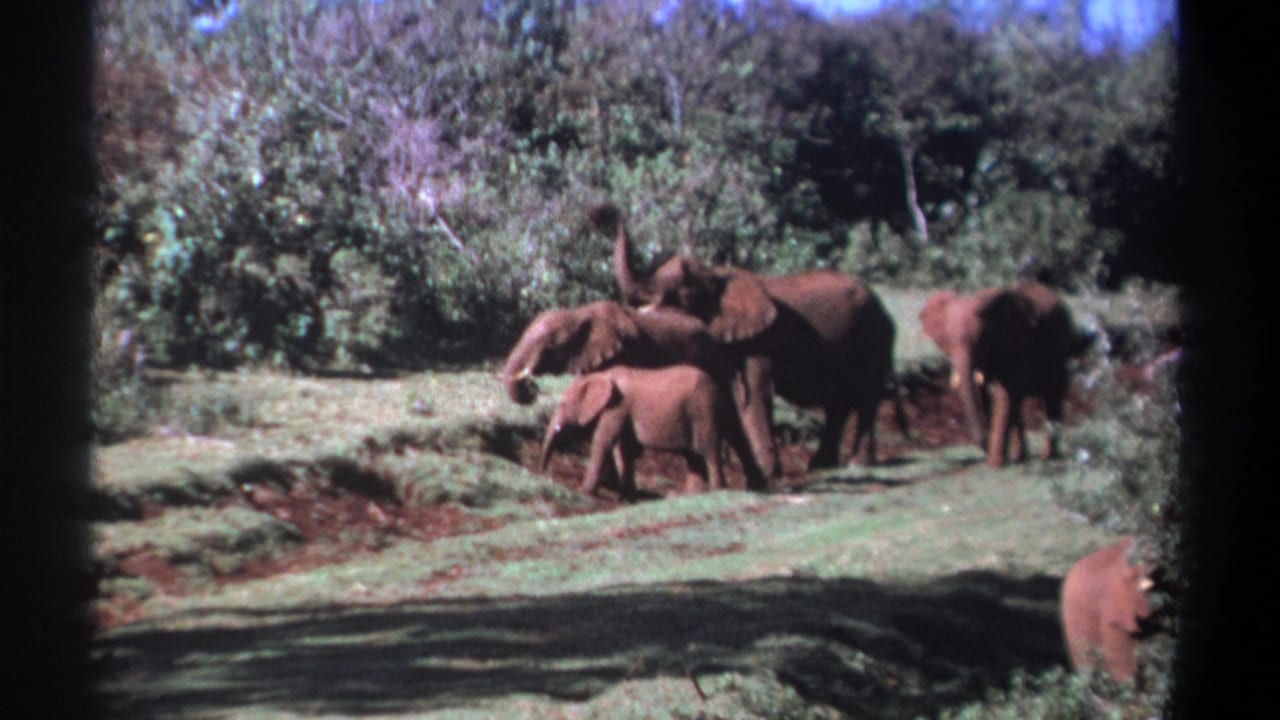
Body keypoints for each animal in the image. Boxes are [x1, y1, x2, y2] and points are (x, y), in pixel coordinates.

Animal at [540, 365, 770, 498]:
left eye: (563, 404)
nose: (545, 474)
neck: (601, 376)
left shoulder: (616, 407)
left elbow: (604, 441)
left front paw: (584, 492)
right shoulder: (623, 410)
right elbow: (624, 448)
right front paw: (629, 496)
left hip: (703, 410)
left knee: (707, 450)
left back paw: (716, 490)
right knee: (700, 452)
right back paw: (687, 495)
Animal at [592, 203, 908, 475]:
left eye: (685, 295)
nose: (601, 211)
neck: (719, 275)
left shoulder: (759, 341)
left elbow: (755, 392)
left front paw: (767, 472)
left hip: (873, 338)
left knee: (864, 397)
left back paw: (857, 464)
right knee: (839, 402)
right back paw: (822, 466)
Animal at [918, 282, 1092, 467]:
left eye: (979, 338)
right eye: (948, 342)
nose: (984, 445)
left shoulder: (1016, 343)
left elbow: (1004, 395)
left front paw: (995, 465)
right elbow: (989, 395)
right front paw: (1006, 459)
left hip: (1062, 353)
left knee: (1053, 399)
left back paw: (1049, 456)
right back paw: (1021, 456)